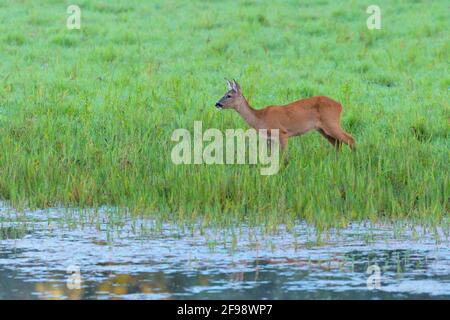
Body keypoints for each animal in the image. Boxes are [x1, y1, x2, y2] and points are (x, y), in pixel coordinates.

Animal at [214, 79, 356, 164]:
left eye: (229, 95)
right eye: (224, 93)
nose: (217, 104)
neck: (260, 118)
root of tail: (340, 105)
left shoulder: (282, 132)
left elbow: (284, 157)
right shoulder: (269, 137)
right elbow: (270, 156)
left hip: (331, 123)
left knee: (350, 139)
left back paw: (354, 162)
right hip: (322, 129)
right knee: (338, 144)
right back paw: (337, 163)